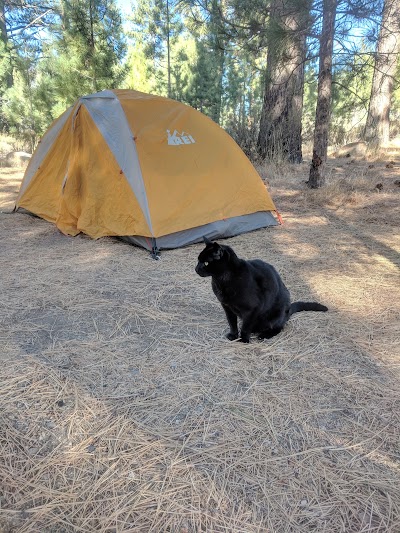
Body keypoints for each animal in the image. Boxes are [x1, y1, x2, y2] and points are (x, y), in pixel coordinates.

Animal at [195, 238, 328, 344]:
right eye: (198, 260)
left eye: (205, 262)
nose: (196, 268)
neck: (221, 281)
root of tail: (288, 310)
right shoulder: (227, 307)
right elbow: (232, 323)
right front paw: (233, 336)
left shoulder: (252, 309)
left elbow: (245, 327)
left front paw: (244, 340)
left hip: (276, 315)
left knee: (278, 327)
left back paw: (264, 335)